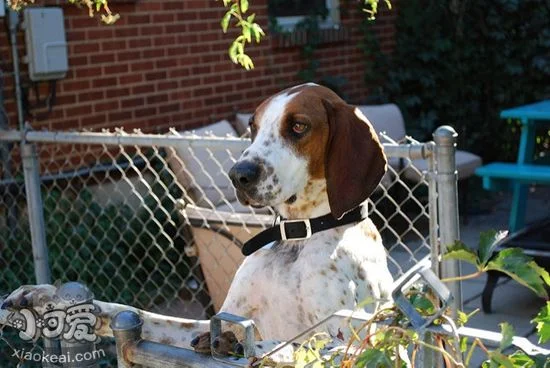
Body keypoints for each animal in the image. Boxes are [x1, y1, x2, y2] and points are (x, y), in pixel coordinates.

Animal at [2, 82, 394, 362]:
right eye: (252, 127)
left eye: (298, 126)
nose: (239, 175)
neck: (297, 238)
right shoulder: (218, 317)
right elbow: (139, 314)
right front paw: (45, 299)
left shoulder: (350, 340)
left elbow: (296, 344)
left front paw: (242, 346)